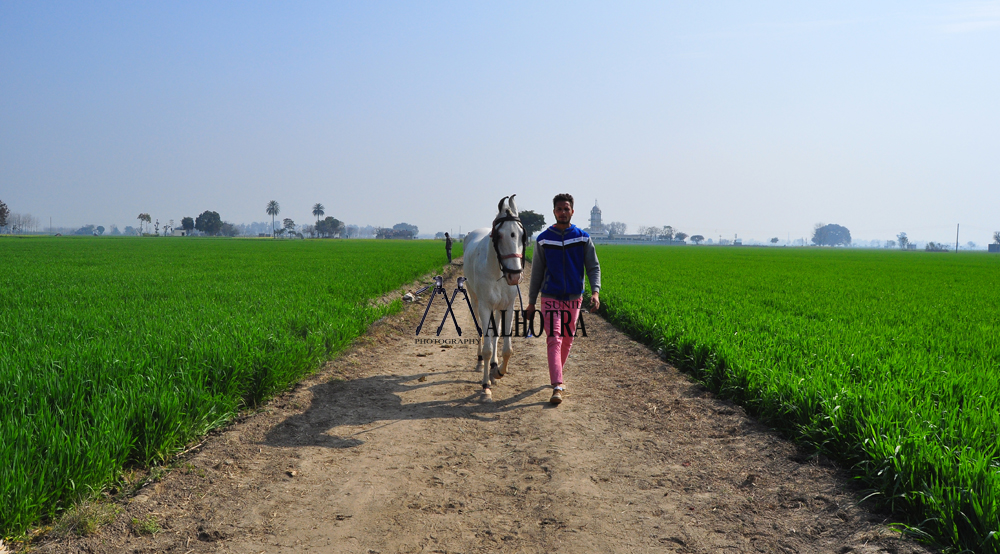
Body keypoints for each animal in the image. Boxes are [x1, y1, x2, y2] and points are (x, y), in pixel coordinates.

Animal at [462, 192, 528, 398]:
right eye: (499, 235)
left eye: (522, 235)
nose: (514, 275)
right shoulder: (485, 306)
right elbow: (488, 348)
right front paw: (485, 385)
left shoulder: (508, 306)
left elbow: (506, 347)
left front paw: (498, 371)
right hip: (475, 300)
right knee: (481, 331)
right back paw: (480, 360)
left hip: (497, 308)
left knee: (495, 332)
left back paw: (493, 365)